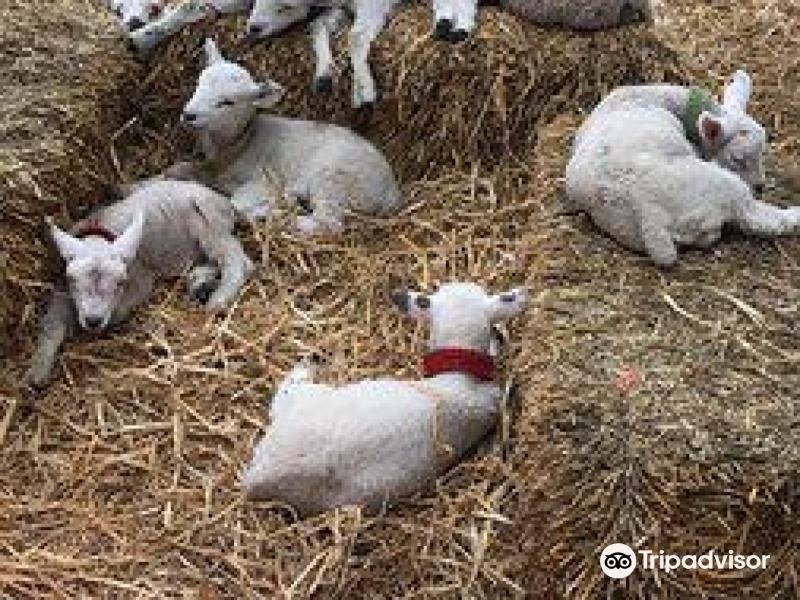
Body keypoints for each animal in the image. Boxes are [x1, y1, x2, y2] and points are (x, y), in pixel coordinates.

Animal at [25, 178, 252, 390]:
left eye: (120, 283)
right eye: (72, 280)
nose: (93, 321)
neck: (99, 236)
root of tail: (226, 202)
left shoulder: (139, 280)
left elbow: (117, 313)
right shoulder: (62, 287)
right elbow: (51, 324)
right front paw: (38, 371)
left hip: (210, 223)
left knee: (237, 258)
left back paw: (219, 298)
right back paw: (199, 279)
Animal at [164, 38, 400, 236]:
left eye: (227, 102)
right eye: (198, 84)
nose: (189, 115)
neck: (241, 142)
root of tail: (392, 191)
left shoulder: (263, 180)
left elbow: (237, 203)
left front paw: (269, 207)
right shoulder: (212, 167)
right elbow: (179, 169)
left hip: (336, 180)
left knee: (329, 223)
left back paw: (287, 214)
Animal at [244, 282, 532, 516]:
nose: (500, 336)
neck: (458, 377)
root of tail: (259, 477)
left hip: (306, 400)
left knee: (285, 391)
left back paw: (307, 363)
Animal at [564, 71, 800, 268]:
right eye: (737, 159)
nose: (760, 187)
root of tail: (648, 213)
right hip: (721, 187)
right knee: (759, 219)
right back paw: (793, 215)